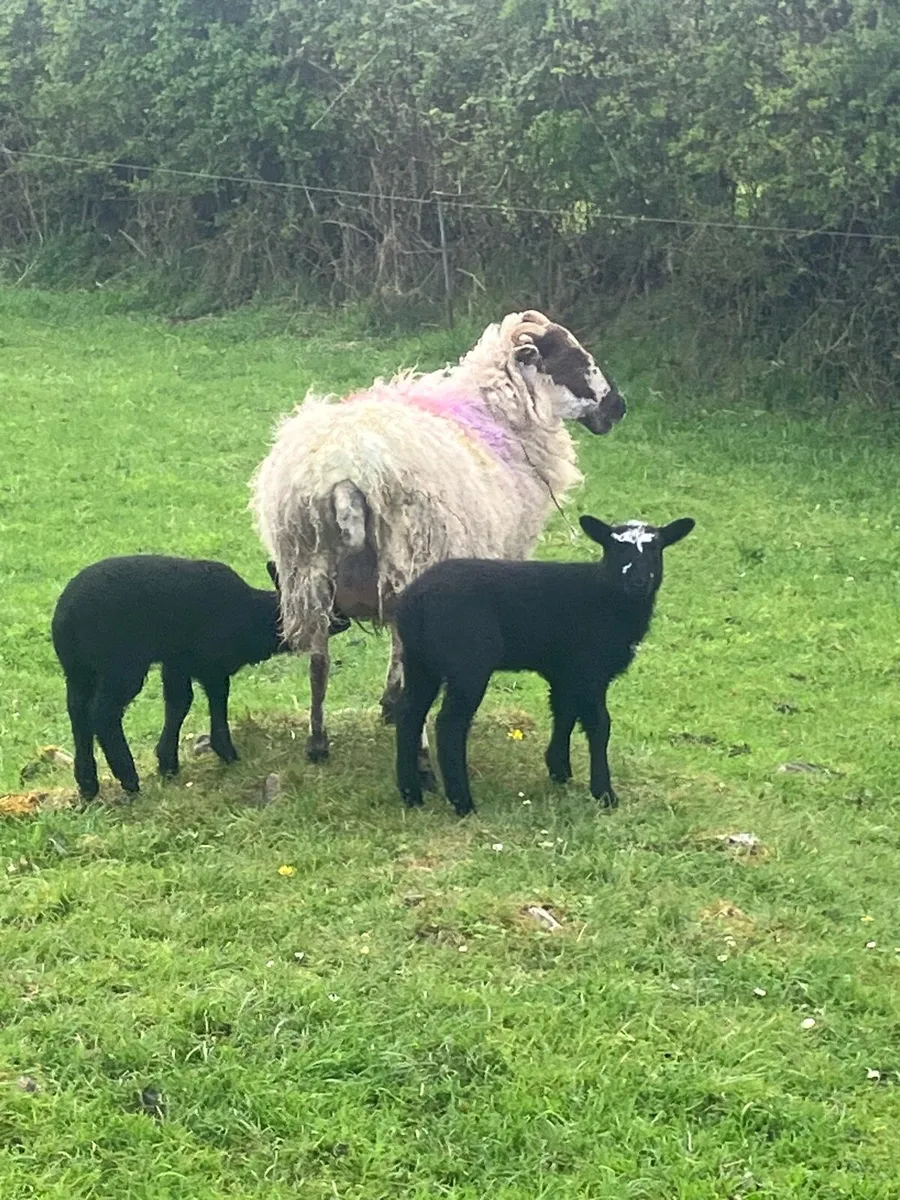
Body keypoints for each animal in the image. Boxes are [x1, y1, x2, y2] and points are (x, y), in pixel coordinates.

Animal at [51, 555, 346, 799]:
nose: (344, 620)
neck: (253, 617)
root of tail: (65, 618)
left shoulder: (178, 662)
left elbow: (178, 703)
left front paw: (167, 762)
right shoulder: (211, 665)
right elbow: (215, 701)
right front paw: (226, 754)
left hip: (78, 671)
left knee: (77, 712)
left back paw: (88, 783)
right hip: (121, 666)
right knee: (102, 714)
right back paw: (128, 778)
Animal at [250, 309, 626, 768]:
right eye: (574, 359)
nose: (618, 407)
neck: (499, 415)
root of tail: (345, 475)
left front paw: (386, 705)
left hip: (306, 571)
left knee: (319, 661)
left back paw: (318, 741)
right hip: (409, 556)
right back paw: (423, 759)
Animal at [394, 514, 695, 816]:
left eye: (656, 549)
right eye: (615, 548)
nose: (638, 582)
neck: (607, 598)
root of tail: (417, 598)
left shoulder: (565, 672)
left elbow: (565, 713)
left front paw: (559, 769)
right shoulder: (590, 669)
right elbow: (599, 725)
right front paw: (604, 793)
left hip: (419, 659)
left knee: (409, 713)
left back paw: (411, 794)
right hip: (467, 662)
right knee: (450, 725)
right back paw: (463, 803)